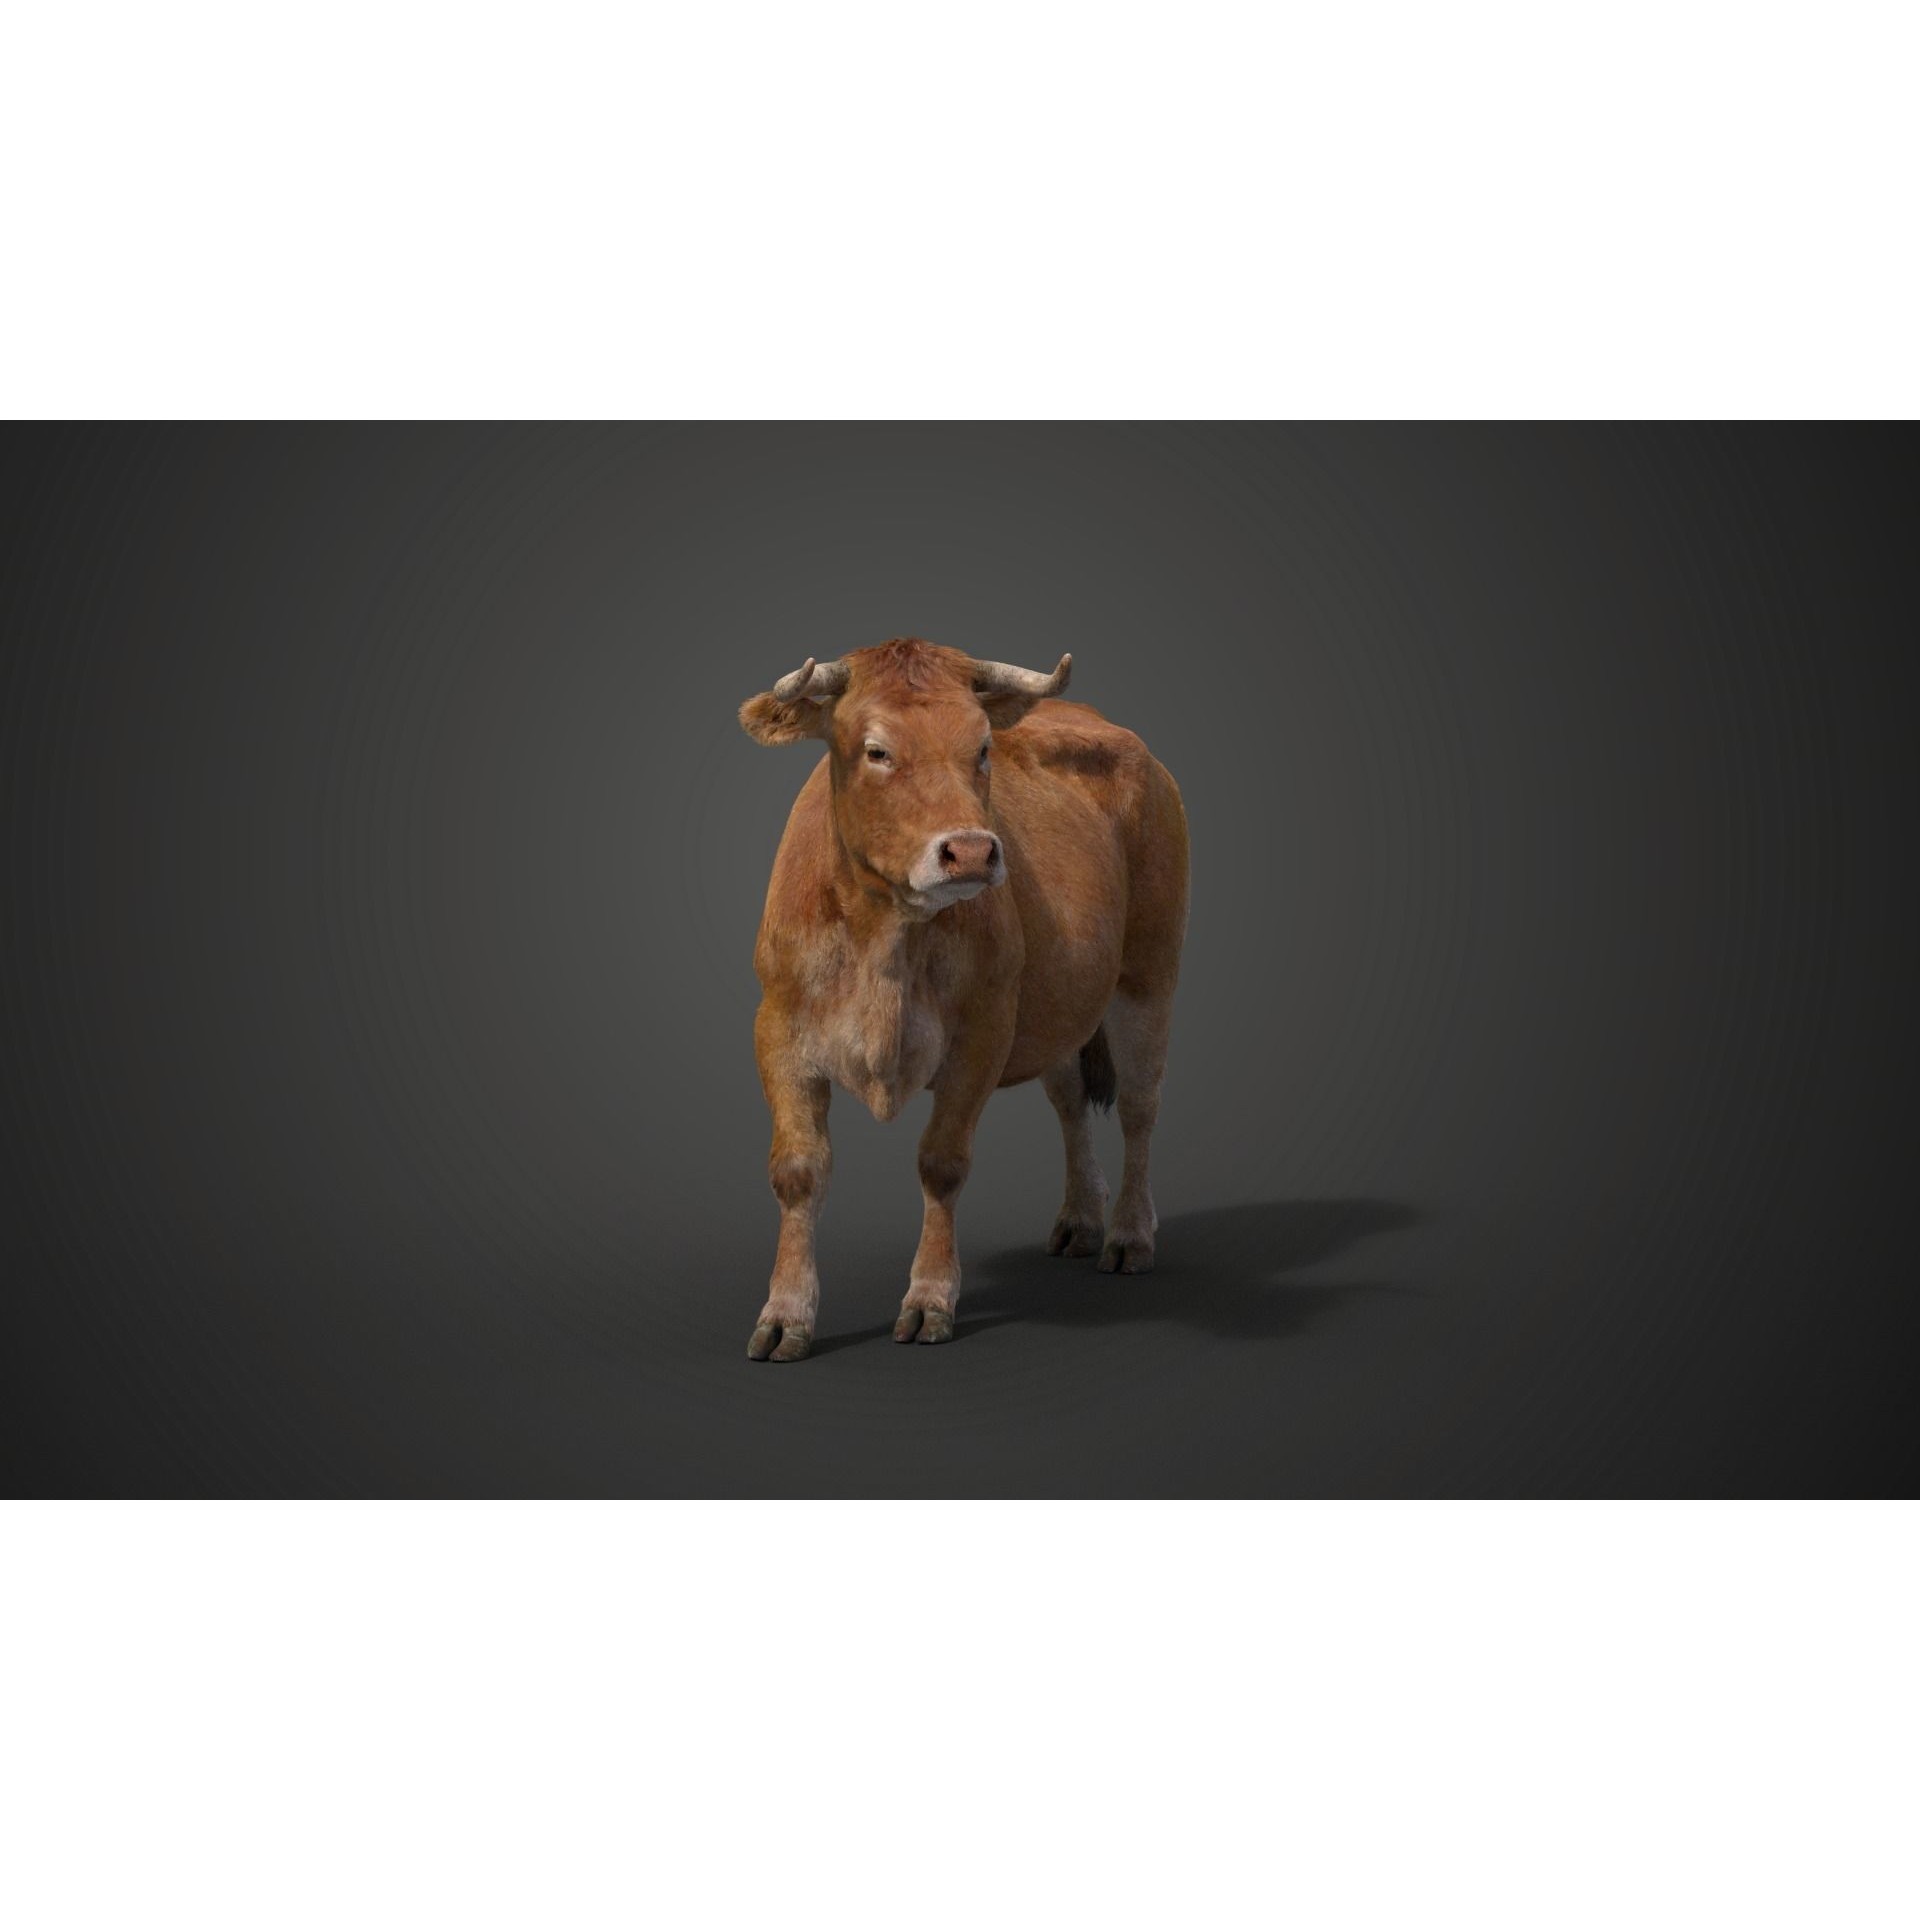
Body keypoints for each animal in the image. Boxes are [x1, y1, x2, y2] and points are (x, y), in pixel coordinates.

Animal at [737, 638, 1189, 1360]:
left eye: (981, 748)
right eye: (876, 750)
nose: (972, 851)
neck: (884, 943)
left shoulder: (982, 1033)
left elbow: (942, 1162)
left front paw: (929, 1301)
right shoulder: (779, 1028)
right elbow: (798, 1171)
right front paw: (786, 1315)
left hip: (1149, 974)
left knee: (1140, 1107)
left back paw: (1128, 1236)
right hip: (1057, 1003)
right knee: (1069, 1101)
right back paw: (1079, 1221)